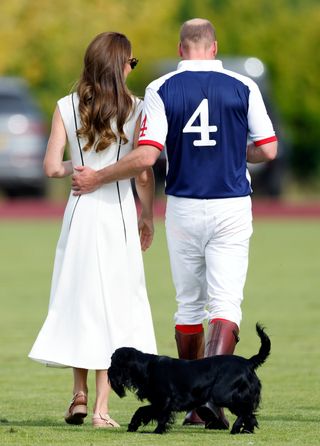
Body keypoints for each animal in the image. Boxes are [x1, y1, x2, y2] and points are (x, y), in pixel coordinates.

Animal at [109, 322, 272, 434]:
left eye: (113, 361)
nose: (109, 372)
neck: (147, 367)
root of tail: (248, 362)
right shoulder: (158, 401)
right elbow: (142, 410)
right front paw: (133, 425)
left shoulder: (165, 400)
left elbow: (160, 416)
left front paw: (157, 431)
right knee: (249, 413)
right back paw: (246, 430)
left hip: (223, 394)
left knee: (245, 410)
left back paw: (236, 428)